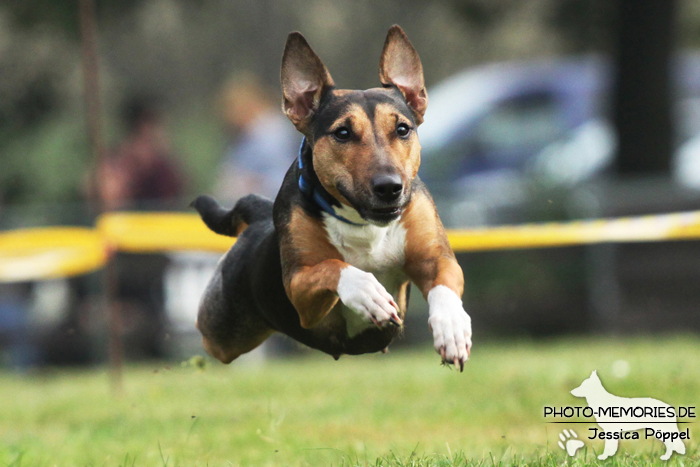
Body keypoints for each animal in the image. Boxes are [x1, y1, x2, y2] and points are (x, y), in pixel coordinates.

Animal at [193, 25, 470, 372]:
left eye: (403, 129)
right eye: (342, 133)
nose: (389, 187)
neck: (364, 224)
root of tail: (258, 213)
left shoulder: (433, 256)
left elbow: (445, 281)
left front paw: (453, 330)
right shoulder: (299, 289)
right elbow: (333, 266)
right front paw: (369, 293)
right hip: (223, 326)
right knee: (207, 334)